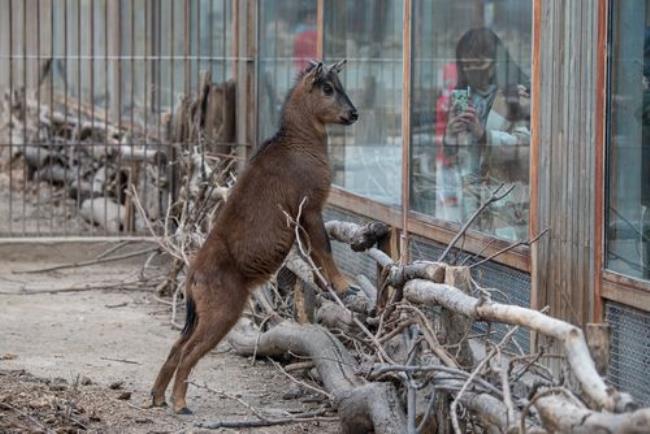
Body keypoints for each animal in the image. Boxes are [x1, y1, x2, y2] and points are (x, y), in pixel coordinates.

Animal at [149, 58, 356, 414]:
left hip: (200, 315)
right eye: (328, 88)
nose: (353, 114)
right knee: (189, 353)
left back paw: (158, 397)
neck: (297, 143)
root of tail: (191, 277)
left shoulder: (303, 219)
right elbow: (324, 248)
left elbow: (312, 254)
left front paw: (327, 286)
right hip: (221, 314)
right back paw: (180, 403)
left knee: (177, 346)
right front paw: (345, 287)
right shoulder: (309, 209)